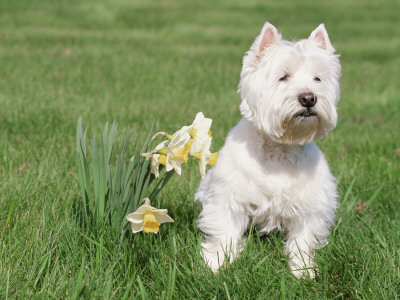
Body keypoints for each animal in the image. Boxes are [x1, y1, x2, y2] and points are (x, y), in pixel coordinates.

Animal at [195, 21, 340, 278]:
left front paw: (303, 271)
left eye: (317, 79)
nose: (308, 98)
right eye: (283, 77)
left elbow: (303, 240)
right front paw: (215, 264)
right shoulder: (227, 196)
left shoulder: (310, 206)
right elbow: (224, 232)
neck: (280, 150)